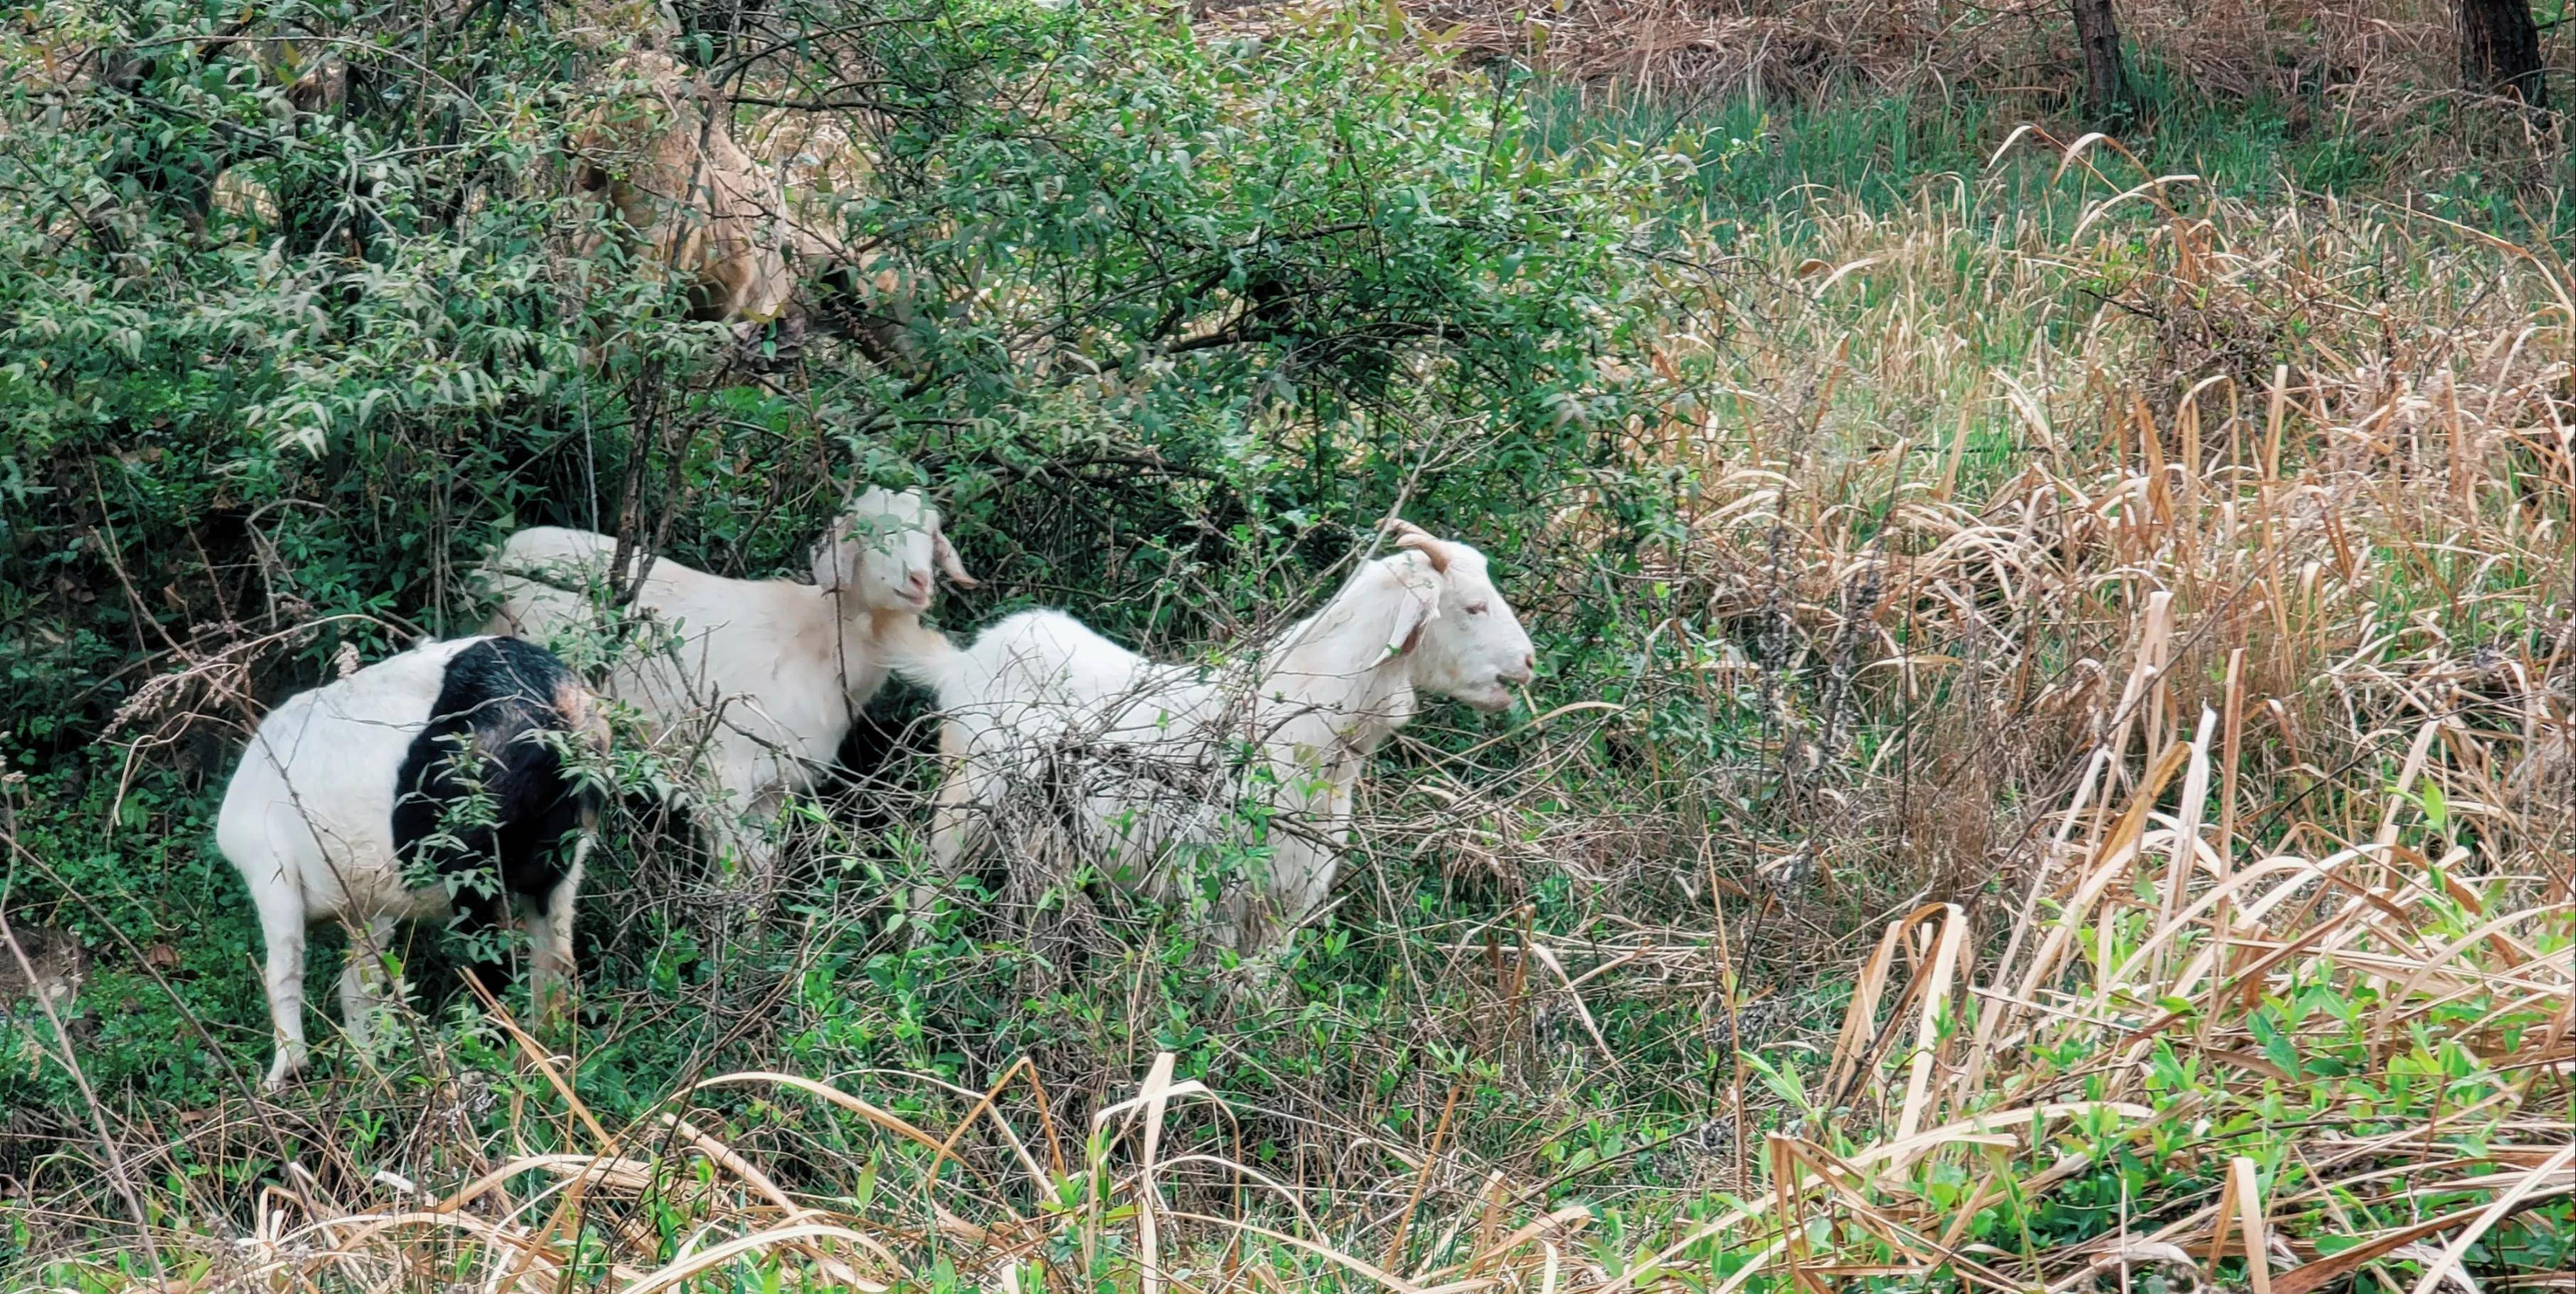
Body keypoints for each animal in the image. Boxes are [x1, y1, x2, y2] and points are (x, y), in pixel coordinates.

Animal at [213, 636, 605, 1092]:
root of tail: (560, 708)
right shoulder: (373, 899)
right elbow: (359, 982)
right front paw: (365, 1069)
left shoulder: (272, 871)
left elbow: (284, 972)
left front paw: (284, 1075)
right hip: (566, 859)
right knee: (555, 961)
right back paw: (548, 1060)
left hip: (473, 861)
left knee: (494, 964)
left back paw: (484, 1066)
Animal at [479, 484, 968, 881]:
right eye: (869, 533)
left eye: (932, 534)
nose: (919, 582)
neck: (820, 639)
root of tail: (501, 556)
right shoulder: (724, 774)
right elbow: (731, 874)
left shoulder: (777, 788)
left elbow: (762, 874)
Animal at [891, 521, 1525, 953]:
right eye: (1472, 606)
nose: (1529, 663)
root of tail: (964, 661)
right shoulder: (1212, 888)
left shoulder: (1288, 900)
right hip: (965, 800)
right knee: (930, 886)